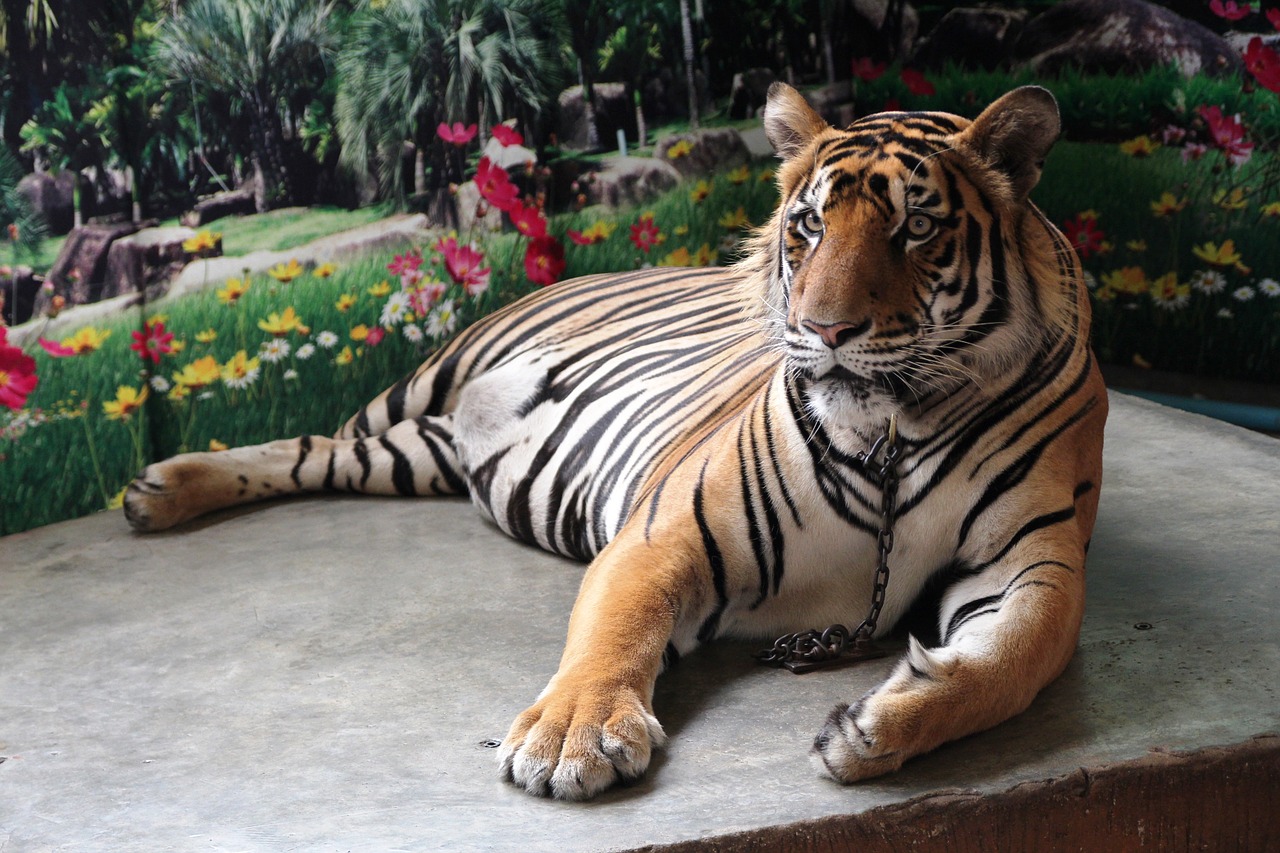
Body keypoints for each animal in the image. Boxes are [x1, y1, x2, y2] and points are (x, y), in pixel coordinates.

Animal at [127, 83, 1111, 799]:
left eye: (917, 227)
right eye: (809, 225)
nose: (822, 330)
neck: (890, 434)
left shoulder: (1036, 556)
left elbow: (1017, 656)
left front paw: (878, 725)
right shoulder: (666, 529)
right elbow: (618, 627)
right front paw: (571, 737)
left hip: (414, 454)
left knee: (319, 456)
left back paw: (160, 494)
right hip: (422, 384)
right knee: (302, 441)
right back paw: (158, 489)